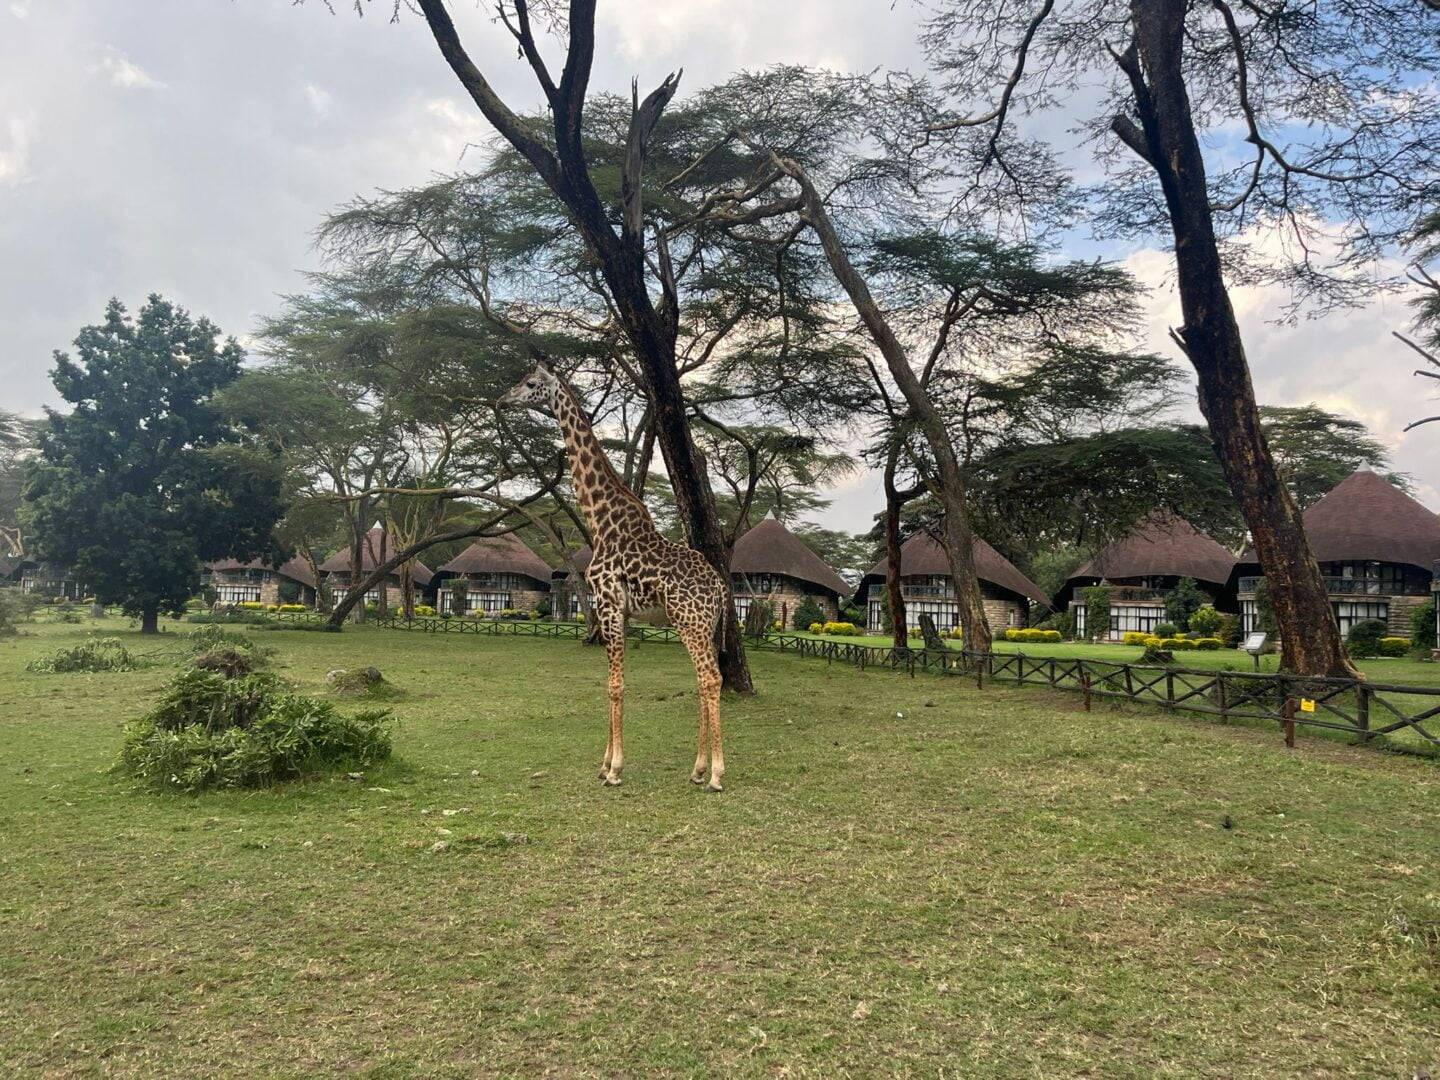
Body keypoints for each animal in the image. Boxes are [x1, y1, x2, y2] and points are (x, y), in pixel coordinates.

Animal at [506, 360, 731, 789]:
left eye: (530, 382)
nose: (503, 397)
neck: (600, 520)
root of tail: (720, 589)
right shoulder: (618, 611)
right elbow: (611, 683)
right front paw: (604, 763)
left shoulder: (609, 605)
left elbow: (614, 685)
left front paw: (613, 768)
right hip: (705, 625)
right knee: (703, 679)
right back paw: (697, 769)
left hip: (689, 622)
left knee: (711, 678)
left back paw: (715, 773)